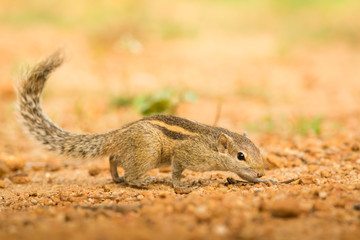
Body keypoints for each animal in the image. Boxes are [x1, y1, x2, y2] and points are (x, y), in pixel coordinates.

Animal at [16, 50, 278, 188]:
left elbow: (244, 176)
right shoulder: (185, 153)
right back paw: (141, 181)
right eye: (240, 155)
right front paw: (181, 185)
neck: (212, 145)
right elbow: (177, 170)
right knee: (130, 174)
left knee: (113, 158)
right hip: (148, 152)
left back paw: (116, 176)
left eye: (258, 151)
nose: (261, 172)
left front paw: (265, 181)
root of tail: (116, 135)